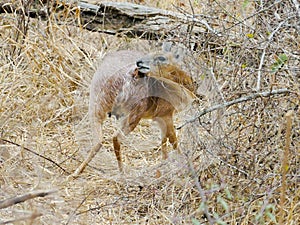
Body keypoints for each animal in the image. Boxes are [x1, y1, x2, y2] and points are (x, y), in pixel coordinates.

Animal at [74, 43, 196, 174]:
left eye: (161, 57)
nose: (139, 62)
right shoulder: (166, 115)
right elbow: (173, 139)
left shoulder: (159, 118)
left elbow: (164, 140)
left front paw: (164, 163)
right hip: (133, 115)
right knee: (115, 138)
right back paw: (123, 173)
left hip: (96, 108)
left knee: (98, 141)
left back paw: (75, 173)